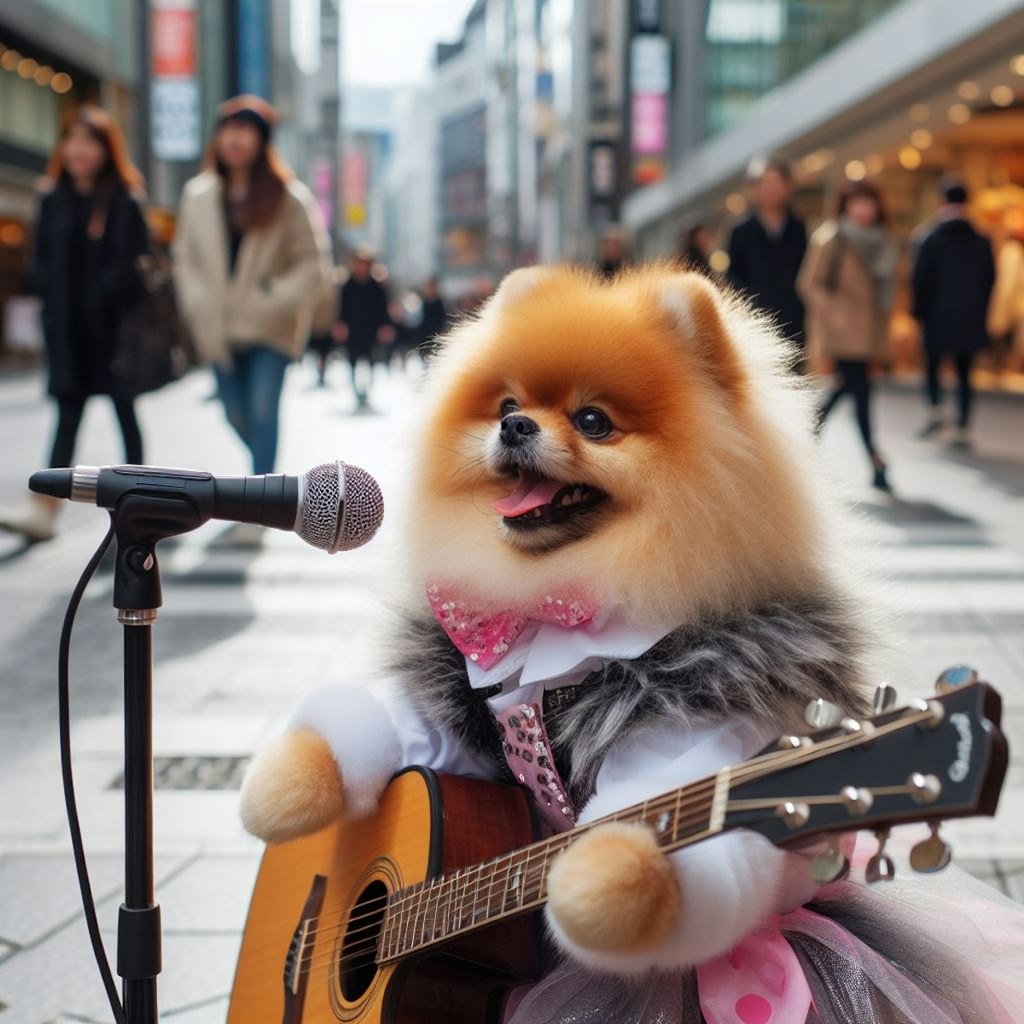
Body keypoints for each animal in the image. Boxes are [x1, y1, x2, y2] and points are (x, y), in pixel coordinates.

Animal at [241, 268, 880, 1003]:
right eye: (507, 404)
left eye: (593, 422)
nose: (515, 425)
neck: (554, 603)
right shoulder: (455, 692)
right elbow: (391, 724)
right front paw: (279, 792)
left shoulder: (702, 715)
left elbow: (671, 822)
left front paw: (603, 873)